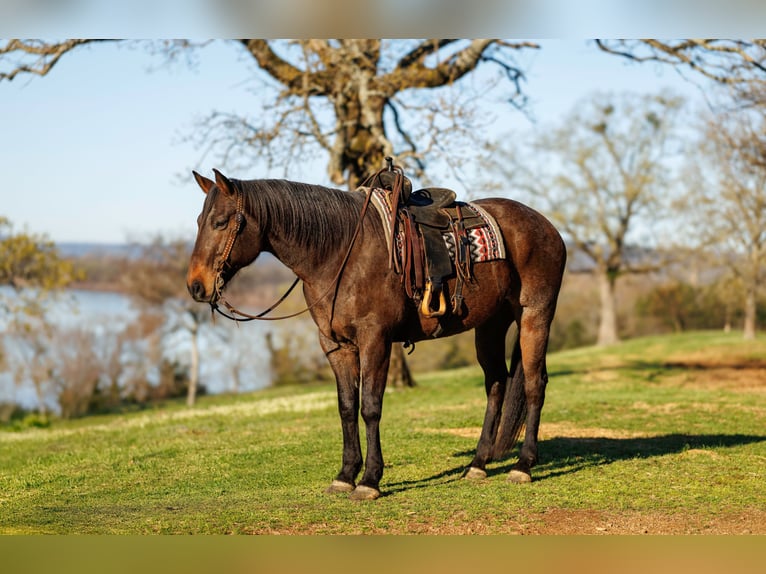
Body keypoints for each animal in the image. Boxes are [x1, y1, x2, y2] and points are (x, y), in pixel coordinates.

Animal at [186, 168, 566, 500]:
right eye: (199, 221)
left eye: (220, 222)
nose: (196, 286)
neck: (339, 253)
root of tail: (547, 226)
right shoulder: (336, 346)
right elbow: (346, 407)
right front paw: (345, 476)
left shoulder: (375, 340)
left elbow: (370, 407)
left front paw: (370, 480)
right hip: (489, 326)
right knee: (496, 384)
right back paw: (478, 464)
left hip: (535, 315)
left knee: (534, 384)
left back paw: (523, 466)